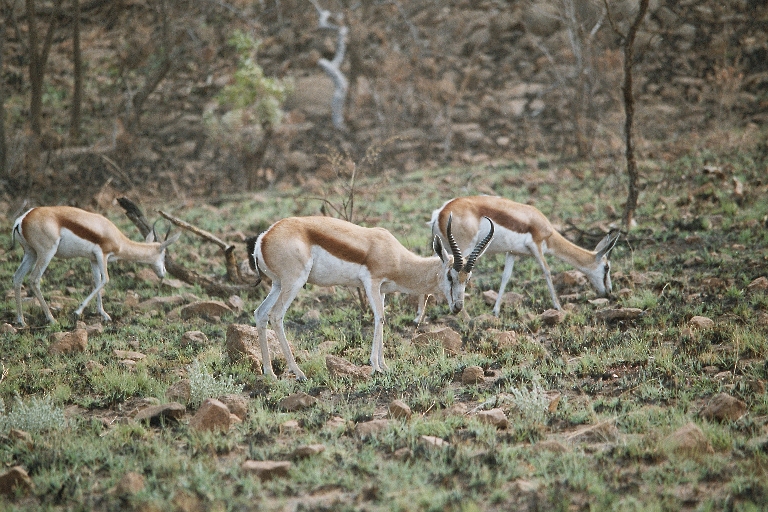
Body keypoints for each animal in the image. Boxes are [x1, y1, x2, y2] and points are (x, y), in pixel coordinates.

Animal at [12, 206, 181, 326]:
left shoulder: (93, 259)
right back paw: (51, 319)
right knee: (34, 279)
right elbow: (105, 279)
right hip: (46, 253)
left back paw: (21, 320)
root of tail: (22, 219)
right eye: (165, 255)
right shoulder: (102, 255)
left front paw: (103, 315)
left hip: (31, 253)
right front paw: (77, 311)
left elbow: (97, 281)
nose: (163, 273)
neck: (116, 237)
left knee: (17, 278)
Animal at [248, 215, 495, 381]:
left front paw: (384, 365)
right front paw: (375, 366)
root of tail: (264, 238)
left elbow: (382, 320)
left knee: (260, 314)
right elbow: (379, 318)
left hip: (278, 284)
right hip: (294, 282)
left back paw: (269, 372)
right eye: (451, 275)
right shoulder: (372, 283)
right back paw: (298, 372)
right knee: (276, 315)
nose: (457, 307)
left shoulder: (383, 290)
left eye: (468, 278)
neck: (394, 254)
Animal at [416, 196, 620, 321]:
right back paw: (465, 316)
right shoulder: (537, 246)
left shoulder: (513, 253)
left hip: (441, 249)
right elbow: (547, 271)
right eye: (607, 267)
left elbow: (505, 278)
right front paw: (558, 307)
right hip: (464, 248)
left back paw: (419, 316)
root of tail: (440, 212)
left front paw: (496, 311)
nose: (609, 292)